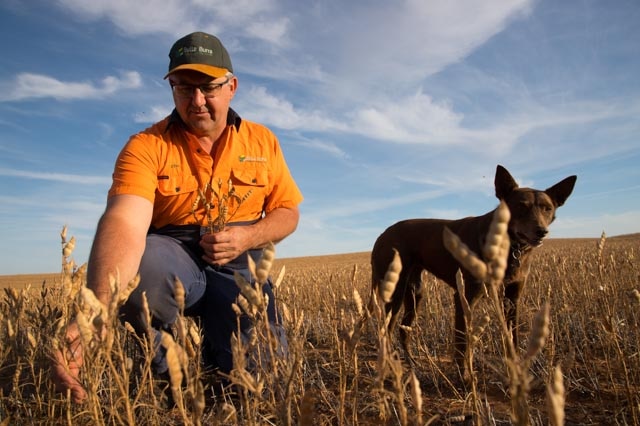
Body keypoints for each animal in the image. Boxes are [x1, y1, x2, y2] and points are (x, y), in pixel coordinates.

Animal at [368, 165, 576, 368]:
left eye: (547, 208)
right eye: (520, 206)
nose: (541, 231)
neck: (507, 245)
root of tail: (382, 235)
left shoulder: (512, 298)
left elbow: (513, 337)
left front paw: (515, 366)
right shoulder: (465, 296)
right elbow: (462, 346)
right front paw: (465, 376)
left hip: (415, 293)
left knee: (403, 329)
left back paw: (410, 362)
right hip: (395, 292)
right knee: (385, 330)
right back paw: (389, 364)